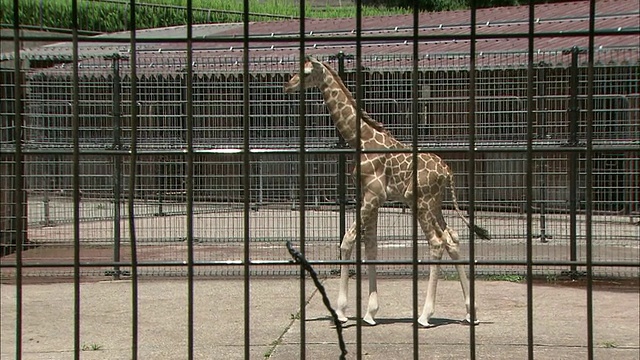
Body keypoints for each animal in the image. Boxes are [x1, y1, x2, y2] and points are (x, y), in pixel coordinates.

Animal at [284, 55, 490, 326]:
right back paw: (470, 312)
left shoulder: (374, 195)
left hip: (421, 201)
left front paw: (341, 311)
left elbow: (348, 240)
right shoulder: (369, 197)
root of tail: (448, 172)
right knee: (451, 239)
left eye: (307, 73)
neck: (360, 139)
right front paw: (370, 313)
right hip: (434, 203)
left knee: (436, 242)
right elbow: (370, 246)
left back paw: (425, 315)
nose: (288, 85)